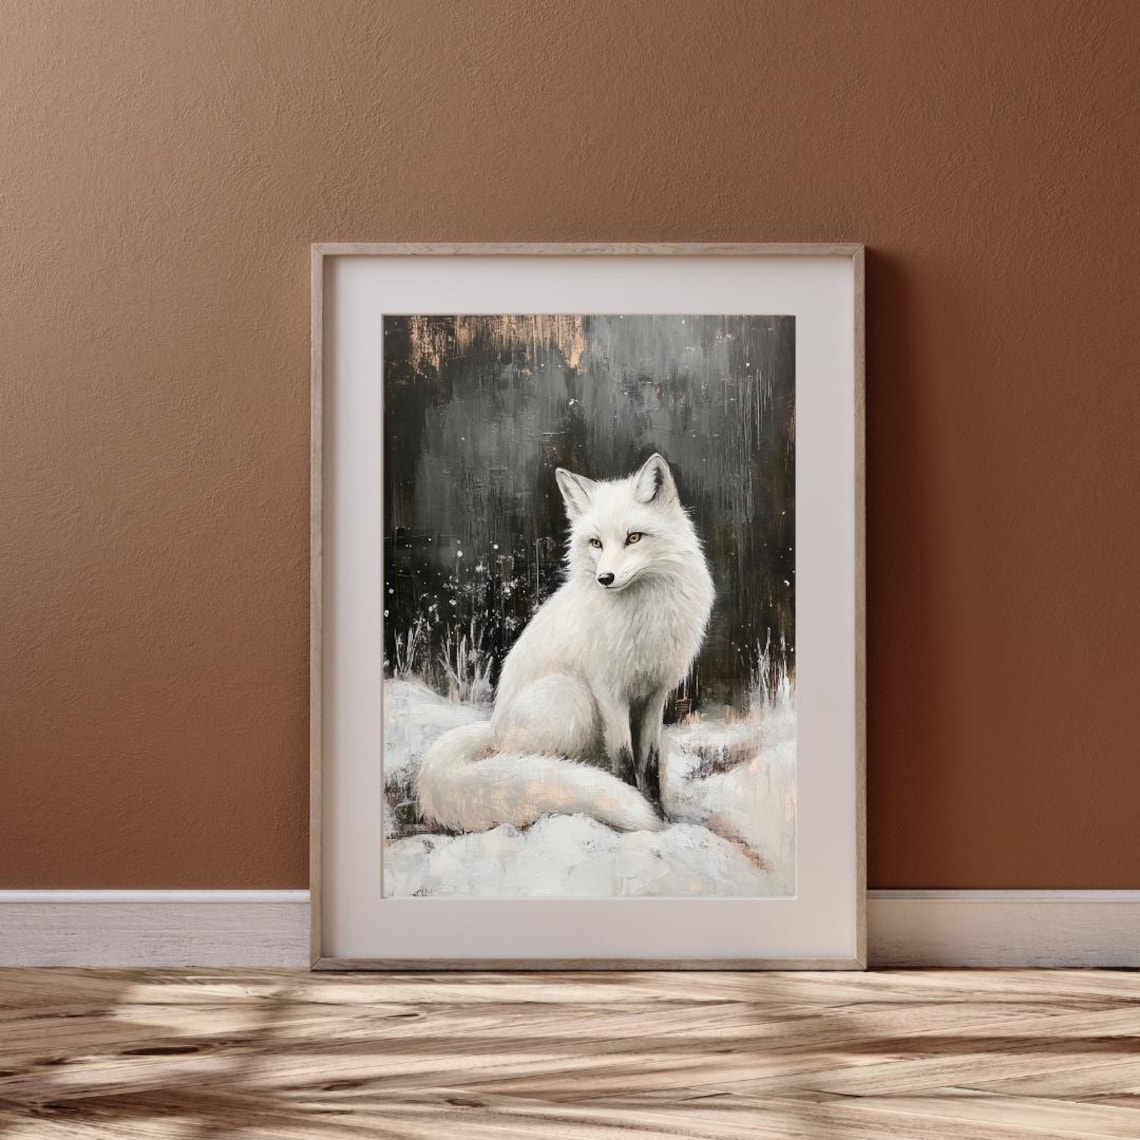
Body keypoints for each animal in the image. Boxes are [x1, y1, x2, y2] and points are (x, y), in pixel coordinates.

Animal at [415, 453, 715, 834]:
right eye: (596, 542)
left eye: (634, 537)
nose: (605, 578)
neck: (642, 617)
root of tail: (493, 730)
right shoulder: (608, 692)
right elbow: (624, 760)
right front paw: (641, 815)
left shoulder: (654, 694)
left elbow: (649, 764)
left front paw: (662, 818)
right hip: (570, 695)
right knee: (539, 768)